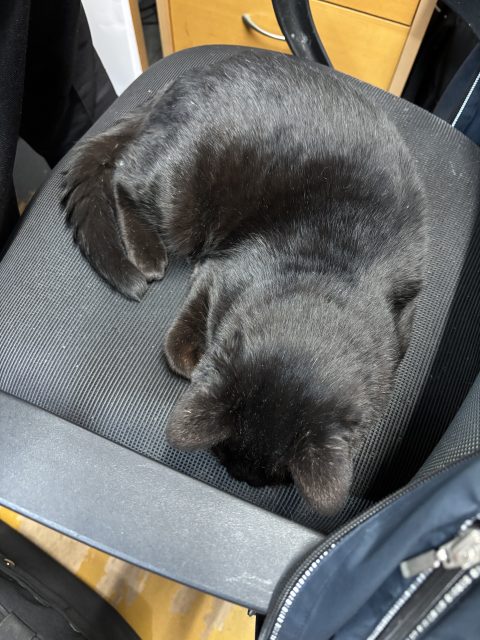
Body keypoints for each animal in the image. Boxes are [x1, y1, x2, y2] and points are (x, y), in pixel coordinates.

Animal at [62, 50, 426, 514]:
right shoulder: (220, 271)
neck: (331, 274)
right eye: (222, 455)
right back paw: (148, 257)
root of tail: (178, 83)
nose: (241, 478)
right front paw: (195, 358)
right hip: (180, 196)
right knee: (124, 176)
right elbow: (177, 351)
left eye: (271, 481)